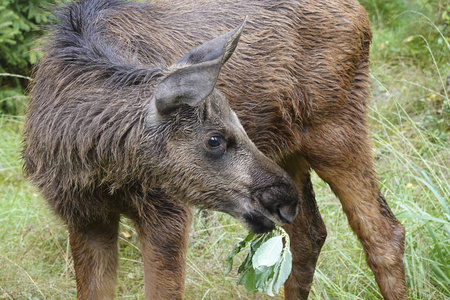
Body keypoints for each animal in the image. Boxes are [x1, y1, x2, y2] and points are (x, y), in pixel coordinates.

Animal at [22, 0, 408, 300]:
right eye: (214, 139)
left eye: (238, 125)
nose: (283, 198)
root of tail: (360, 13)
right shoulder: (84, 217)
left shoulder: (168, 212)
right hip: (288, 148)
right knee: (309, 235)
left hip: (336, 128)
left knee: (383, 233)